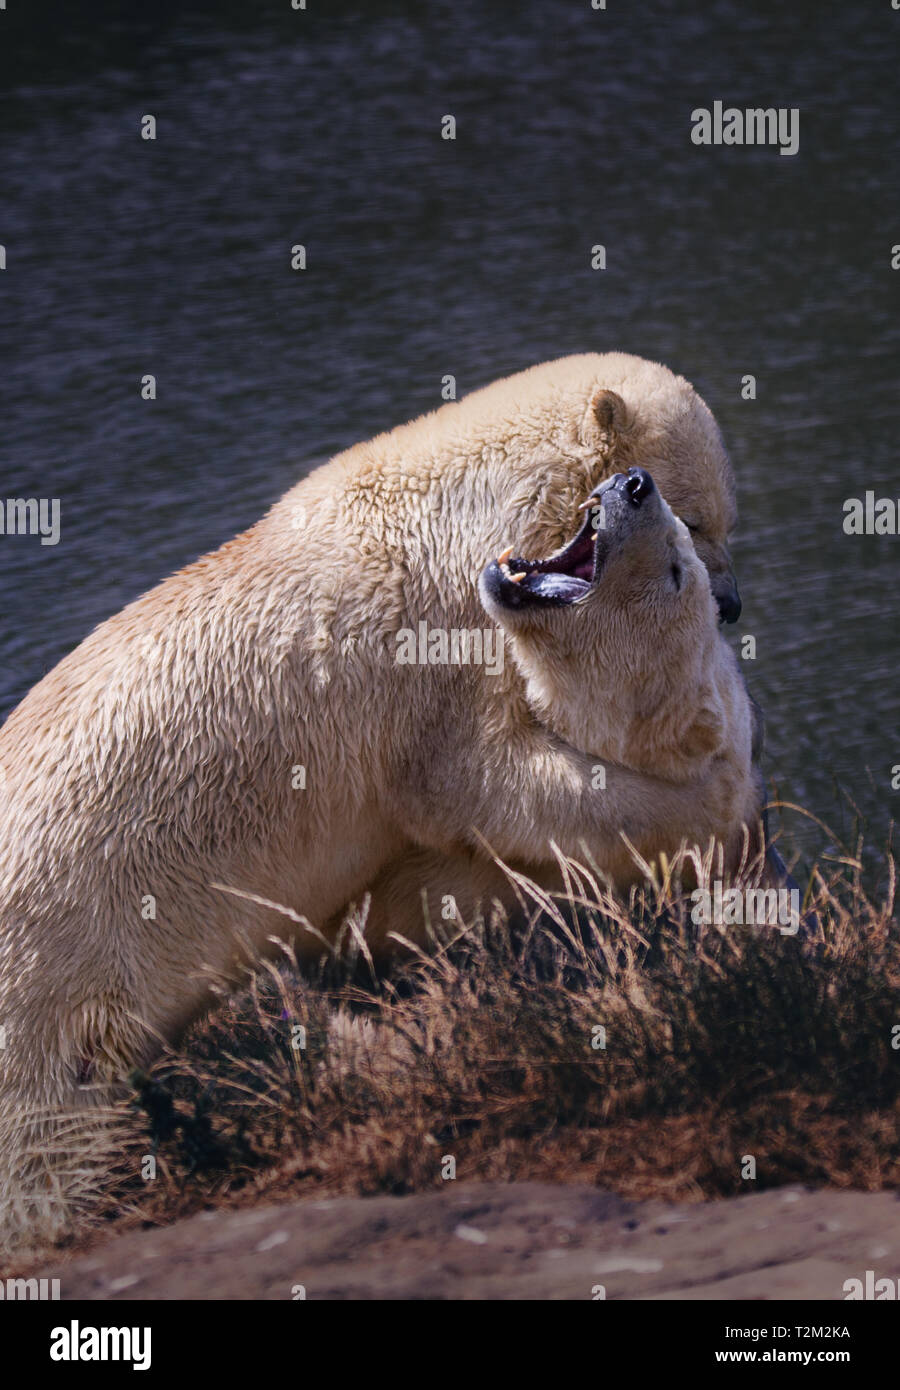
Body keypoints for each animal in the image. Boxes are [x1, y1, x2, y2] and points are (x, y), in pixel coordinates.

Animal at [0, 351, 750, 1216]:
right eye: (697, 522)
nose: (732, 604)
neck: (454, 512)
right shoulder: (431, 657)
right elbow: (483, 784)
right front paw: (706, 807)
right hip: (48, 996)